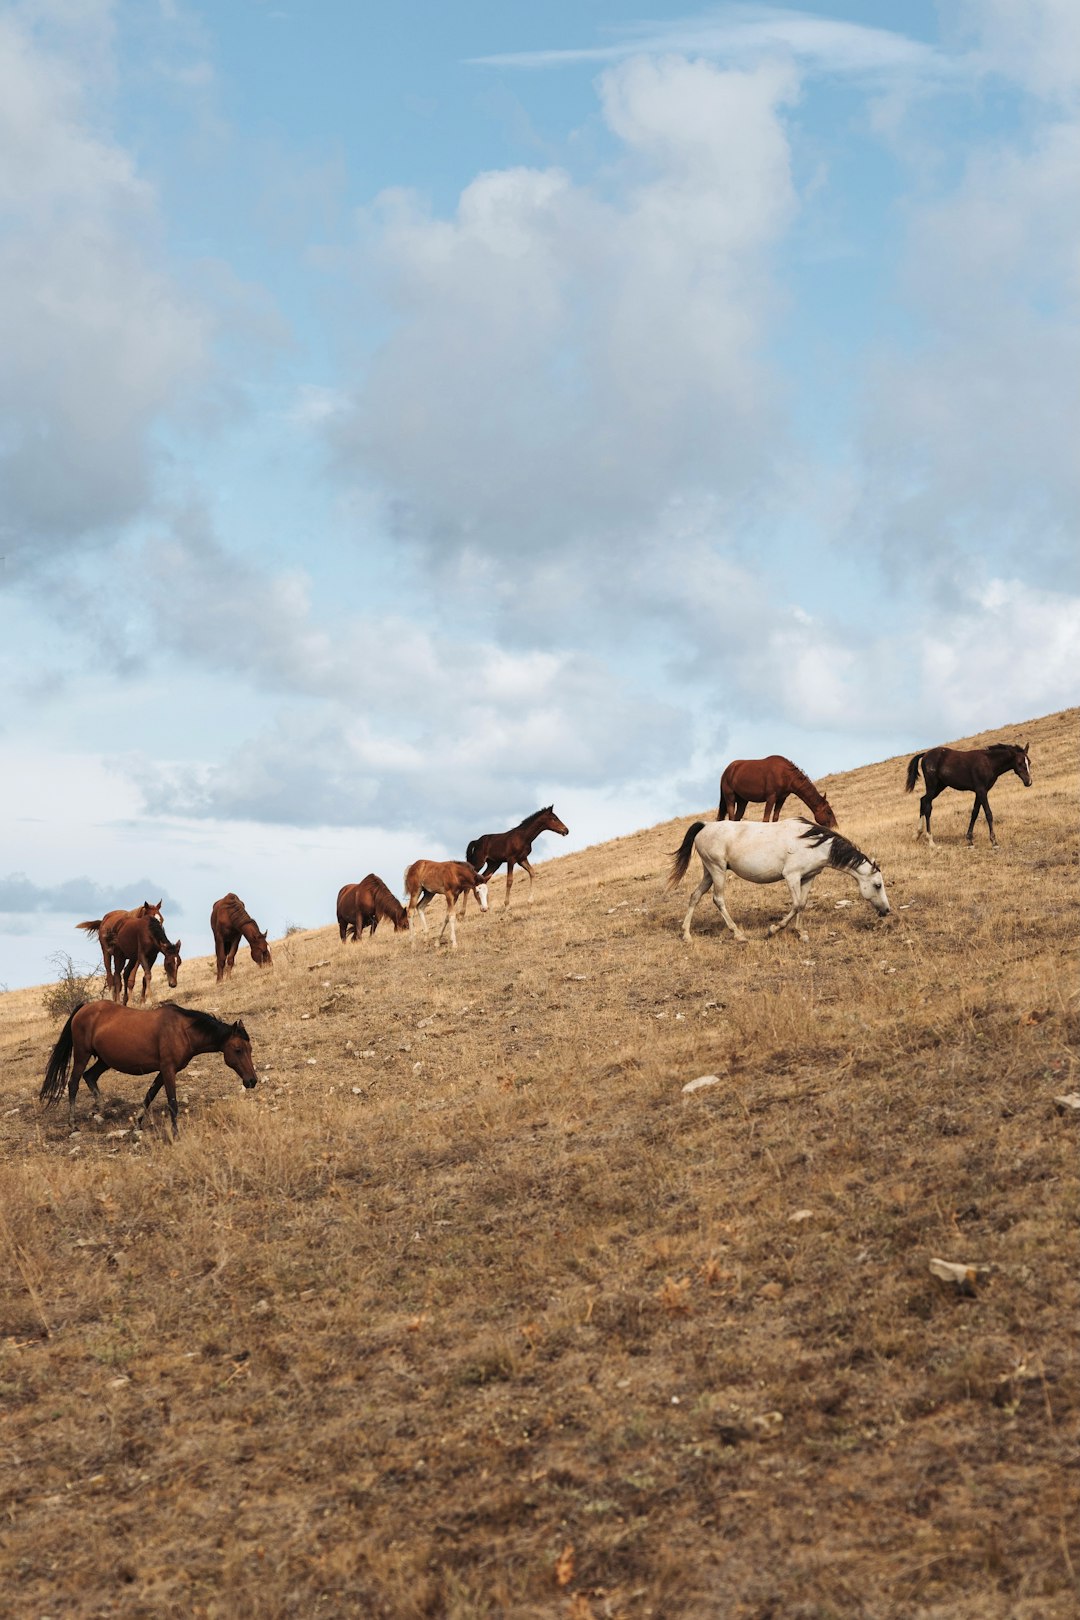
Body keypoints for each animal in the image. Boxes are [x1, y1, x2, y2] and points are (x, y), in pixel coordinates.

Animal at [39, 997, 259, 1140]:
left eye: (249, 1049)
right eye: (238, 1050)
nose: (252, 1080)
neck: (182, 1030)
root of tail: (84, 1007)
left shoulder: (164, 1070)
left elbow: (149, 1095)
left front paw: (137, 1122)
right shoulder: (168, 1069)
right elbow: (172, 1103)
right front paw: (175, 1134)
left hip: (104, 1060)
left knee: (90, 1076)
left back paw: (100, 1111)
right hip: (82, 1055)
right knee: (73, 1083)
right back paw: (73, 1124)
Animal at [670, 816, 893, 946]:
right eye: (878, 885)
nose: (886, 910)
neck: (814, 843)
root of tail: (705, 826)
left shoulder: (808, 877)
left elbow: (802, 904)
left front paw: (801, 933)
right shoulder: (792, 876)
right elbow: (795, 905)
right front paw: (773, 930)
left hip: (709, 872)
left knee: (695, 896)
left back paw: (686, 935)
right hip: (717, 870)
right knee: (718, 899)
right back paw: (738, 934)